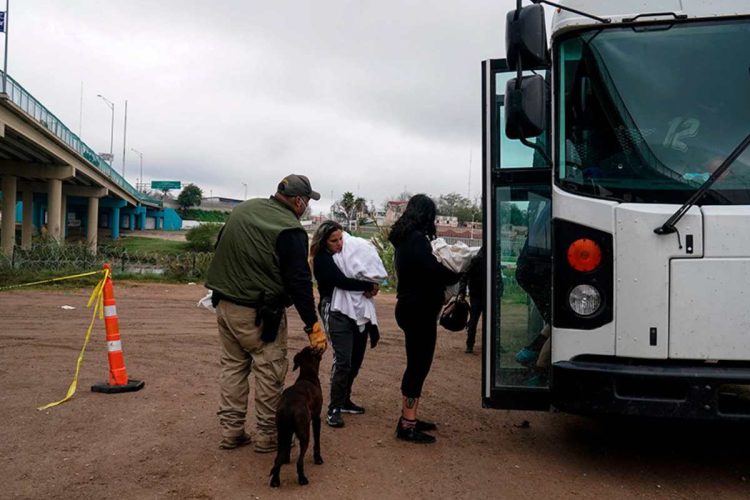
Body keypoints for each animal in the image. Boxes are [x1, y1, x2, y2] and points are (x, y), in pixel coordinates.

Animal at [274, 346, 326, 486]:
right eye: (313, 349)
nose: (317, 346)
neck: (307, 376)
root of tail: (288, 407)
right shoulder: (316, 418)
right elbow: (317, 442)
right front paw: (318, 459)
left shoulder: (289, 432)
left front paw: (286, 459)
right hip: (304, 435)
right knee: (299, 461)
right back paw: (302, 479)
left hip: (281, 433)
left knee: (277, 460)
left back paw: (275, 481)